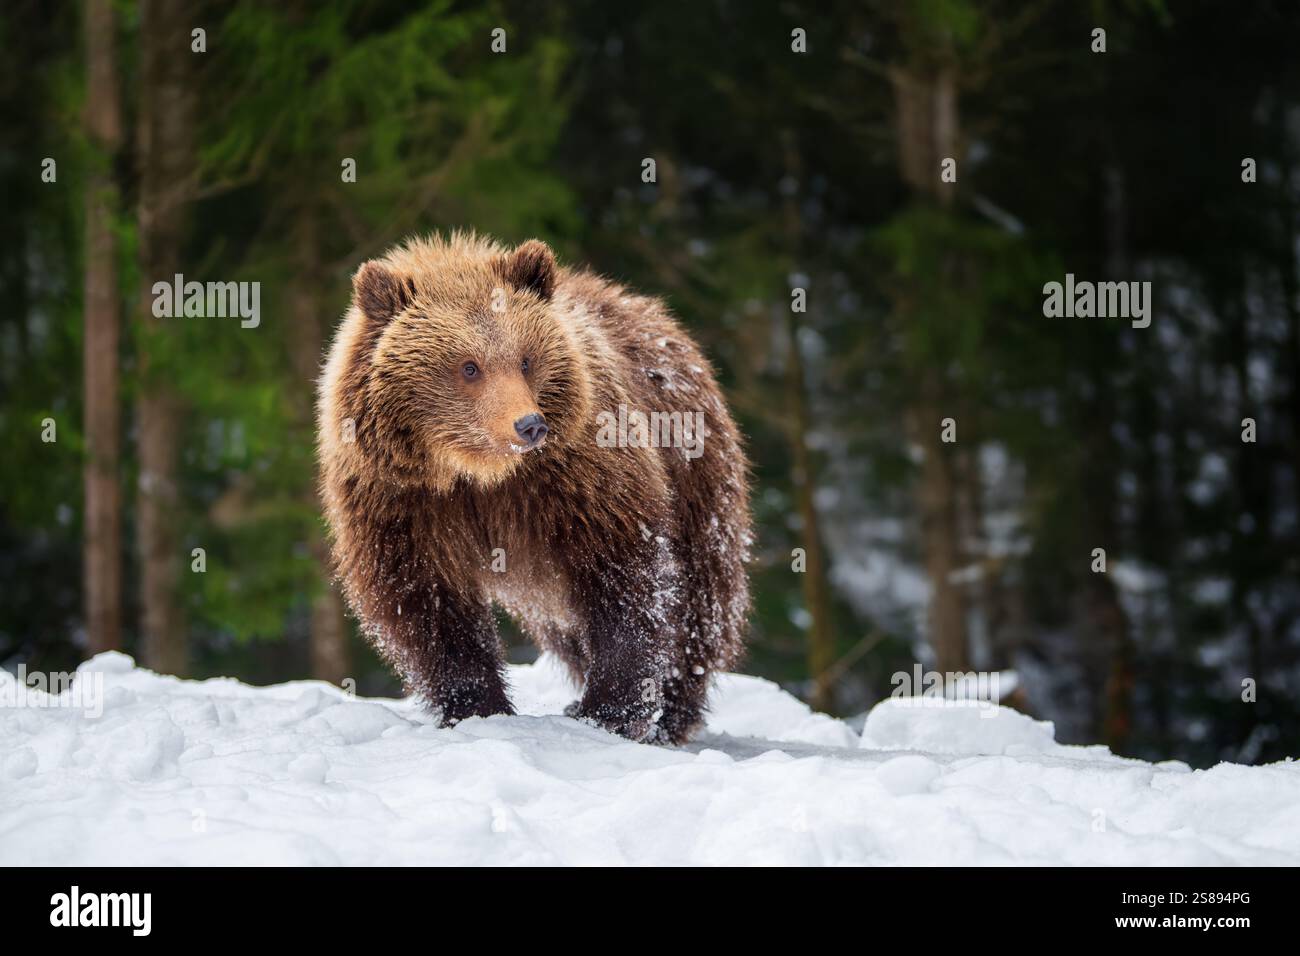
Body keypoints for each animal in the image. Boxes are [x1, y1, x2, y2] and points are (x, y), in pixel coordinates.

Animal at [317, 232, 751, 744]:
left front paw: (610, 710)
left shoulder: (577, 479)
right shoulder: (402, 502)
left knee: (703, 600)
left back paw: (676, 711)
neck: (478, 475)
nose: (529, 425)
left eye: (525, 359)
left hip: (695, 475)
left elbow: (626, 574)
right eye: (469, 366)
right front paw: (475, 707)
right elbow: (424, 602)